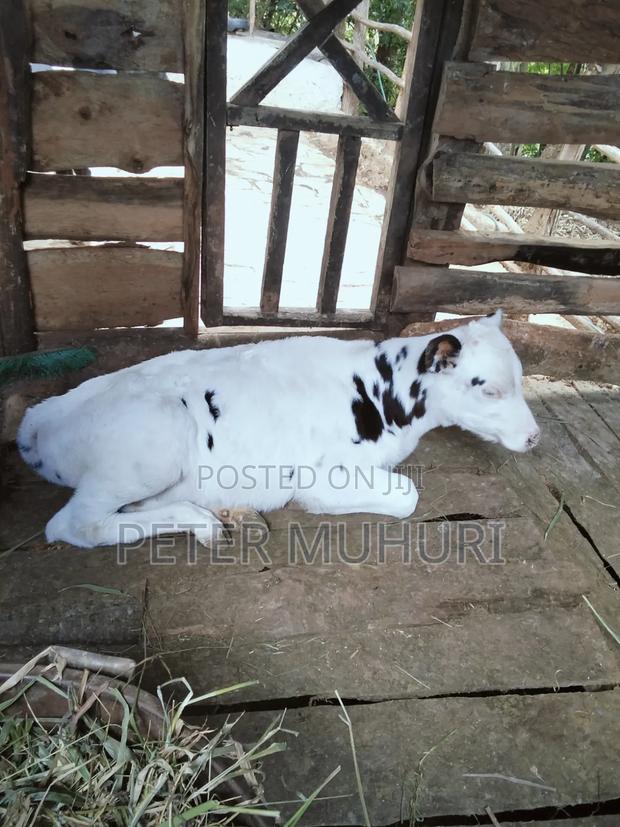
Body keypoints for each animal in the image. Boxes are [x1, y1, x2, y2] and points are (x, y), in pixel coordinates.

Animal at [17, 311, 539, 548]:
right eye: (491, 390)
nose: (535, 437)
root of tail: (44, 414)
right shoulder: (323, 476)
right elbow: (408, 495)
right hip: (151, 444)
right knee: (73, 524)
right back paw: (204, 523)